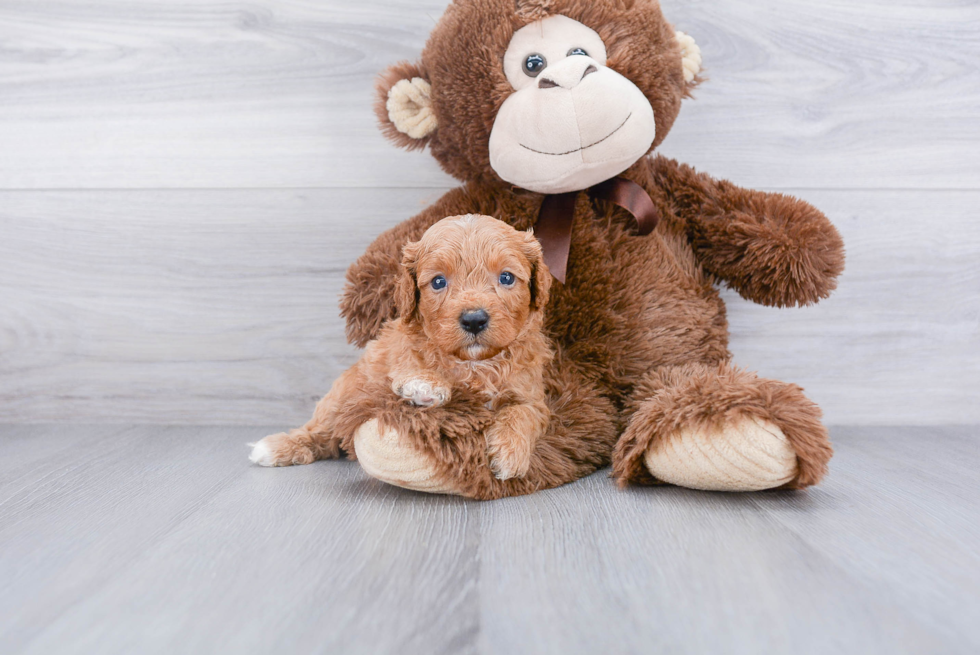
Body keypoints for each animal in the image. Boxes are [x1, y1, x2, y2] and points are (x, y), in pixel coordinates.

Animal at [249, 215, 556, 482]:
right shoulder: (400, 355)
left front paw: (510, 453)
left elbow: (523, 413)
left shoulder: (531, 394)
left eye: (506, 278)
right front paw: (425, 386)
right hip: (343, 395)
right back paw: (278, 447)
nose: (474, 320)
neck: (474, 363)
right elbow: (414, 367)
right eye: (439, 281)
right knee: (321, 430)